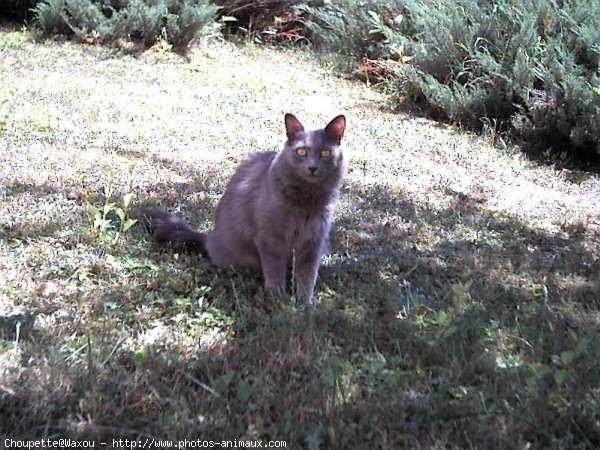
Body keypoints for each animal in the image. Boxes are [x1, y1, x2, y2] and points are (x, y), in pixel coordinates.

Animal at [145, 114, 346, 306]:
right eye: (301, 151)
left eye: (325, 153)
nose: (312, 167)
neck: (306, 199)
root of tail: (208, 238)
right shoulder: (270, 239)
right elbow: (274, 272)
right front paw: (279, 300)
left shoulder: (314, 240)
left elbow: (307, 275)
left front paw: (304, 304)